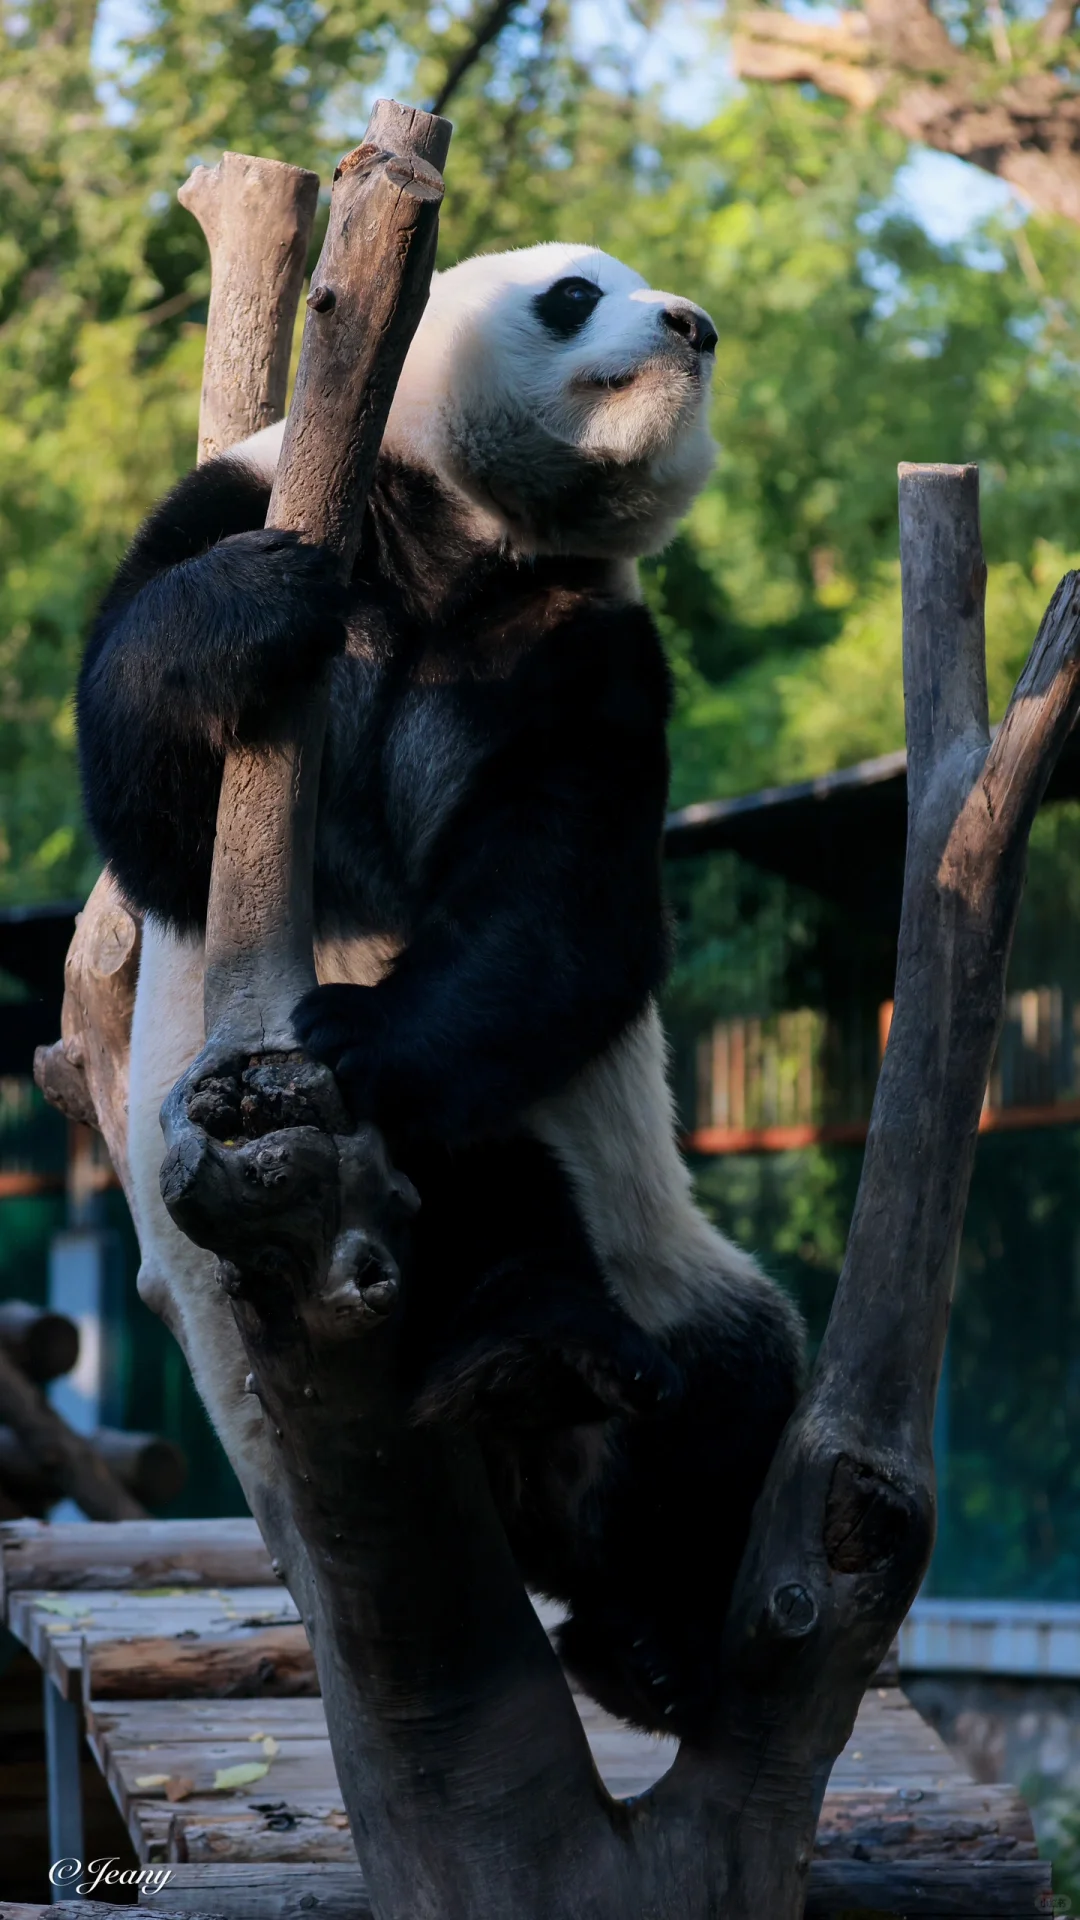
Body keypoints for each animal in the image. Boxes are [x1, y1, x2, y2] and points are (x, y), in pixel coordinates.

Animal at [75, 243, 799, 1743]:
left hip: (678, 1282)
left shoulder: (582, 642)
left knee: (729, 1410)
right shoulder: (253, 497)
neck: (458, 534)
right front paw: (251, 610)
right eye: (575, 294)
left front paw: (364, 1035)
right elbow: (148, 789)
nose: (692, 327)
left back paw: (644, 1624)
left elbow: (562, 891)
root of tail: (533, 1507)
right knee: (479, 1190)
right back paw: (530, 1376)